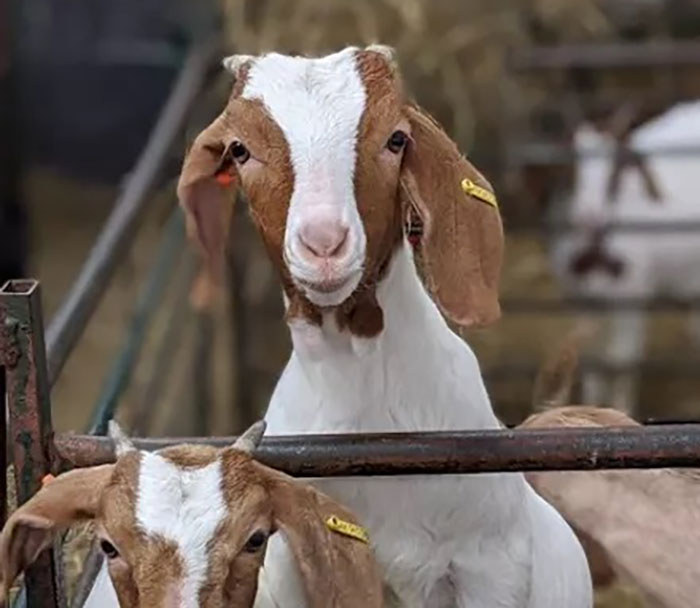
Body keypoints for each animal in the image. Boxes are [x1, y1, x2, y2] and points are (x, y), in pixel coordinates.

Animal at [547, 101, 700, 414]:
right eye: (569, 164)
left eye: (614, 170)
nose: (589, 217)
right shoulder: (581, 299)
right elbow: (590, 358)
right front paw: (589, 407)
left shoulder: (632, 296)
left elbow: (621, 360)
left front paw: (621, 411)